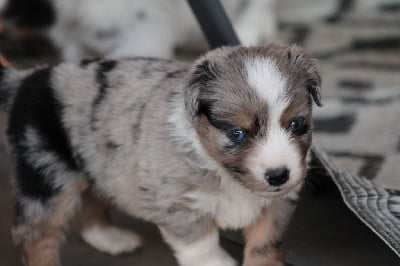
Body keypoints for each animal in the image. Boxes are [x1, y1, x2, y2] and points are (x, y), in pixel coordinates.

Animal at [0, 44, 320, 266]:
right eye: (237, 133)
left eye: (297, 124)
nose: (278, 176)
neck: (222, 171)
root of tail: (27, 77)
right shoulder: (178, 203)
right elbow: (201, 244)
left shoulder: (277, 205)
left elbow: (265, 245)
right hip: (45, 173)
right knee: (34, 235)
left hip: (95, 163)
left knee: (92, 199)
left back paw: (111, 238)